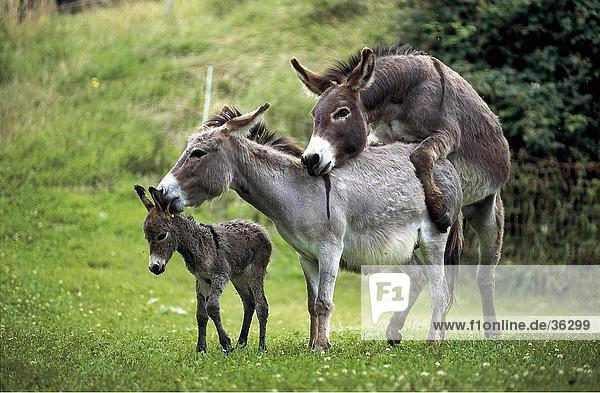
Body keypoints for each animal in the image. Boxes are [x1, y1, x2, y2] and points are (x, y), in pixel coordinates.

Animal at [135, 184, 272, 352]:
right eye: (147, 238)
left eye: (162, 236)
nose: (154, 267)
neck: (197, 245)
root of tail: (258, 227)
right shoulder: (201, 279)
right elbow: (201, 314)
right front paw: (201, 348)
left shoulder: (220, 276)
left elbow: (212, 307)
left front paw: (226, 343)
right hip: (238, 276)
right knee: (249, 303)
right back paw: (241, 343)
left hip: (254, 272)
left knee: (261, 306)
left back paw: (262, 347)